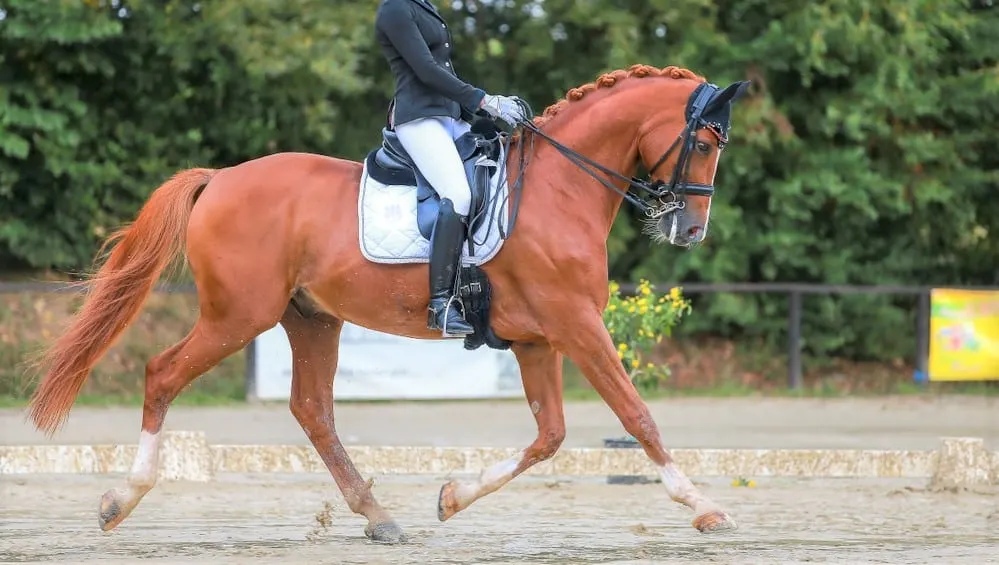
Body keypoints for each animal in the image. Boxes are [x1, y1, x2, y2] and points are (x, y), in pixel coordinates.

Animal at [24, 63, 750, 543]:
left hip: (311, 318)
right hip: (238, 316)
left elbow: (549, 437)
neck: (558, 189)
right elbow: (636, 415)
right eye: (703, 143)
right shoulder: (576, 325)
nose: (691, 230)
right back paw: (120, 501)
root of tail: (220, 178)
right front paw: (702, 506)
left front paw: (453, 496)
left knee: (312, 409)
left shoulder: (538, 339)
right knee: (163, 374)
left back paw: (378, 517)